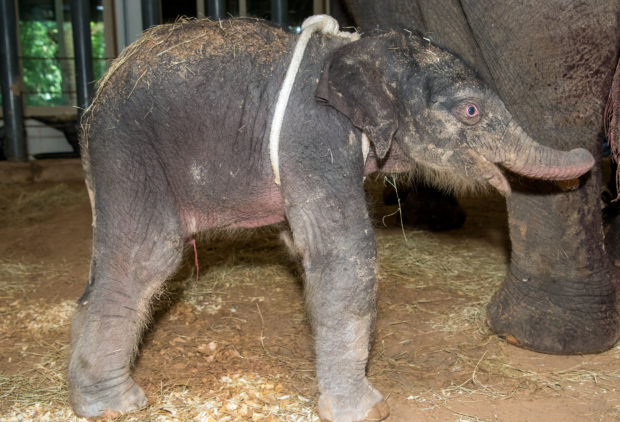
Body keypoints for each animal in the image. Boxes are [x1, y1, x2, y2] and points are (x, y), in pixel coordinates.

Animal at [70, 15, 592, 422]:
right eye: (470, 111)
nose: (589, 160)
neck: (358, 46)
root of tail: (99, 93)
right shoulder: (315, 134)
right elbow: (345, 254)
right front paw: (368, 410)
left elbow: (302, 246)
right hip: (128, 149)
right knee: (146, 256)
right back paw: (115, 404)